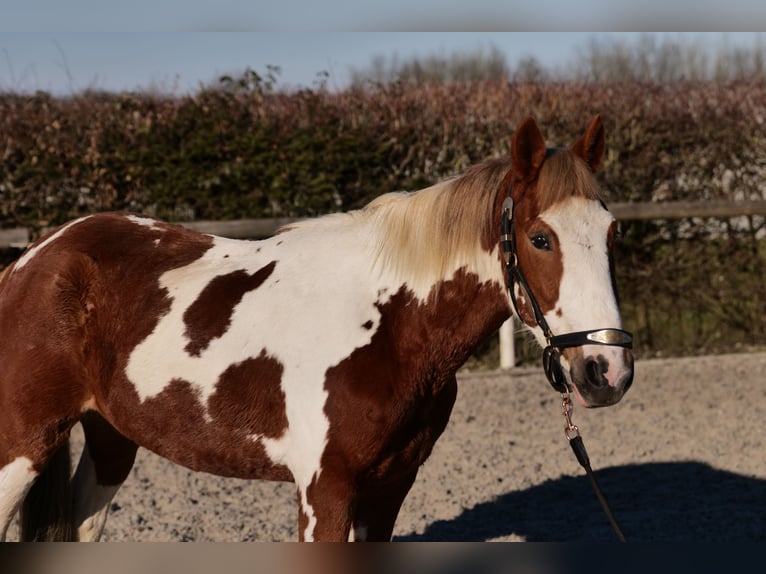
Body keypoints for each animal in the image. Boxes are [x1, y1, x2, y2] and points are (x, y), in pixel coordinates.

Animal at [0, 116, 636, 540]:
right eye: (540, 238)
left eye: (613, 233)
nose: (607, 370)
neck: (388, 325)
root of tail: (32, 258)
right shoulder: (324, 491)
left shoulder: (389, 488)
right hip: (22, 447)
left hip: (111, 438)